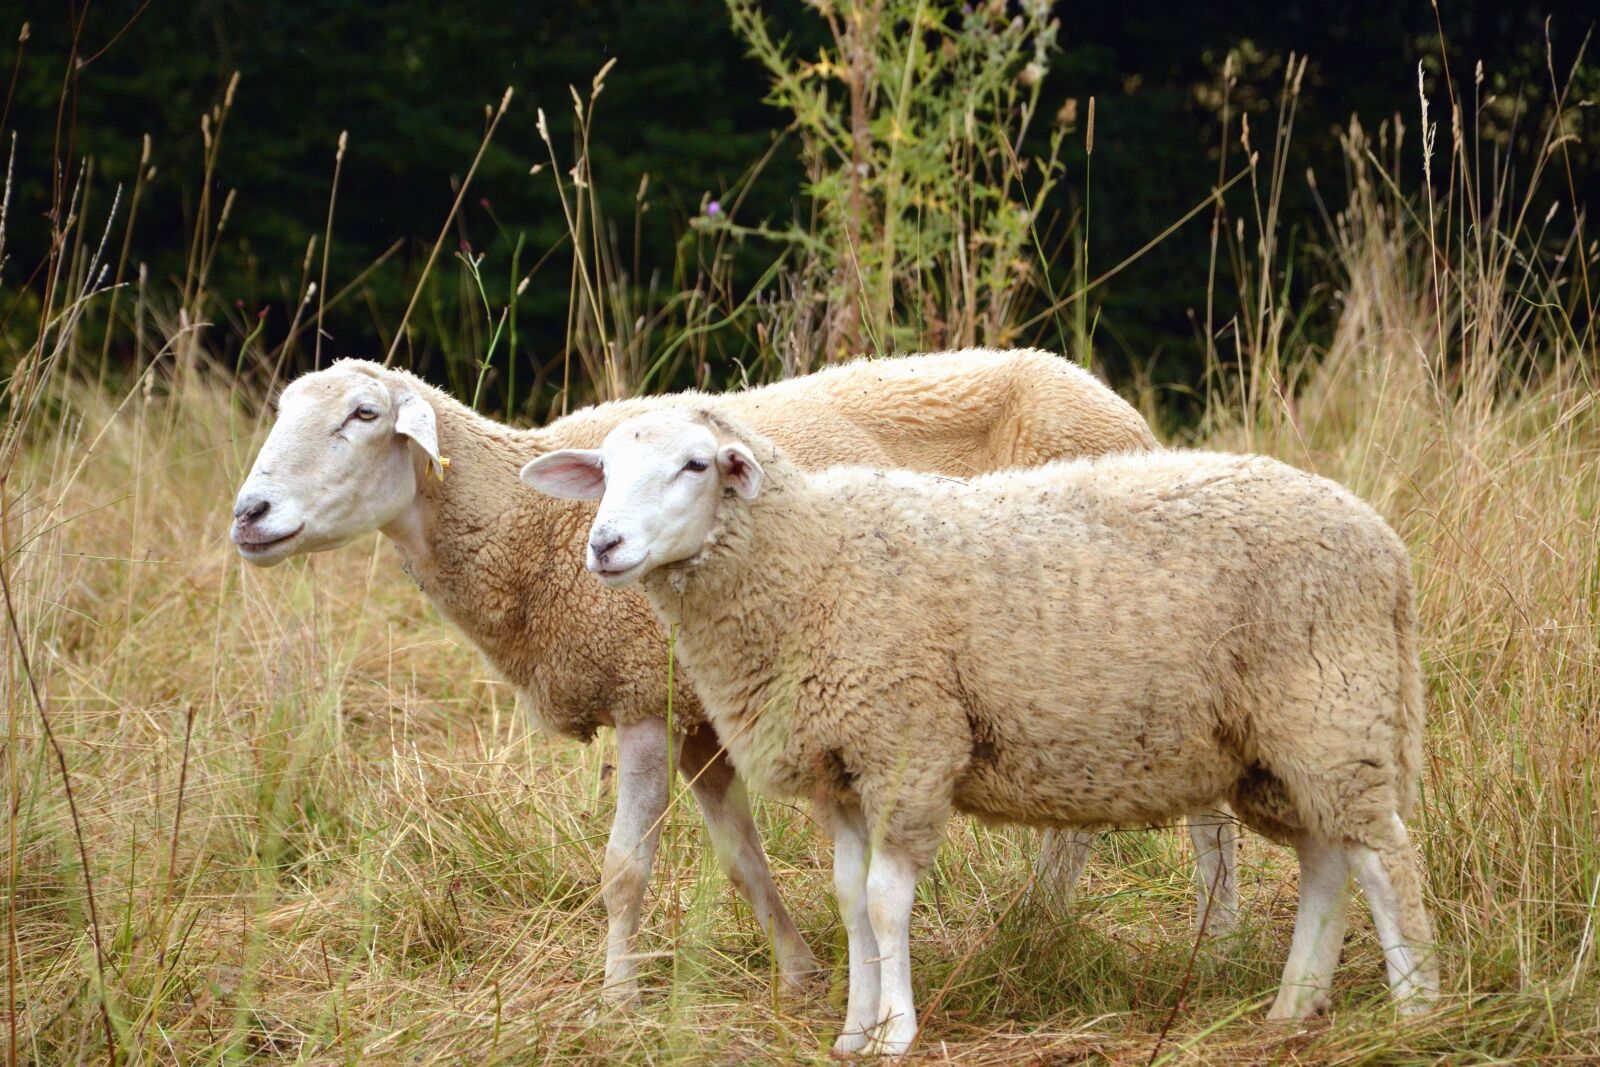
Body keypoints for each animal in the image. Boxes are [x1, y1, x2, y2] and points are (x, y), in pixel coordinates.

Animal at [228, 348, 1233, 1008]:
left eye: (364, 415)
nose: (249, 513)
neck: (524, 532)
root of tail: (1119, 407)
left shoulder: (642, 694)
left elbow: (625, 866)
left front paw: (617, 999)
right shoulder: (702, 714)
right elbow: (743, 858)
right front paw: (802, 972)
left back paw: (1171, 936)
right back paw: (1065, 927)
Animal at [520, 405, 1439, 1055]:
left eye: (695, 464)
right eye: (604, 471)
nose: (605, 545)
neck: (811, 562)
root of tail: (1385, 545)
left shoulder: (908, 744)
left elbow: (885, 900)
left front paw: (895, 1033)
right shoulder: (841, 768)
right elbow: (849, 897)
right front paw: (853, 1029)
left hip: (1329, 708)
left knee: (1387, 859)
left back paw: (1418, 1011)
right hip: (1279, 746)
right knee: (1329, 860)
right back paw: (1292, 1007)